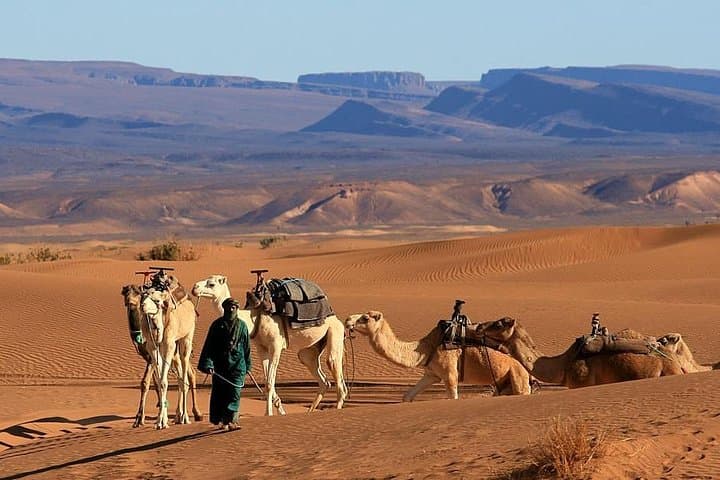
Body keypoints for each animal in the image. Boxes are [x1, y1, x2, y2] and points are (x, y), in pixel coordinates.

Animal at [121, 284, 202, 427]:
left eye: (137, 294)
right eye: (126, 294)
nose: (131, 302)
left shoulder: (165, 347)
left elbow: (151, 382)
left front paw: (147, 419)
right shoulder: (151, 350)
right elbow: (157, 382)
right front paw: (158, 418)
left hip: (185, 339)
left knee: (187, 376)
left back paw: (189, 416)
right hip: (174, 353)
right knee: (182, 377)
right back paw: (178, 416)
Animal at [192, 274, 347, 416]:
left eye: (211, 284)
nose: (194, 288)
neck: (253, 318)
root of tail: (334, 316)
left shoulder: (275, 345)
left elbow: (269, 383)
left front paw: (269, 414)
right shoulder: (262, 349)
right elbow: (267, 382)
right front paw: (279, 411)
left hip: (335, 332)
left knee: (338, 378)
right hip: (308, 351)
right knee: (323, 380)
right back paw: (310, 411)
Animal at [345, 311, 531, 400]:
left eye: (365, 318)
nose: (347, 320)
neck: (425, 348)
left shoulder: (450, 375)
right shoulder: (431, 374)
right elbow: (407, 397)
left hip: (518, 375)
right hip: (504, 384)